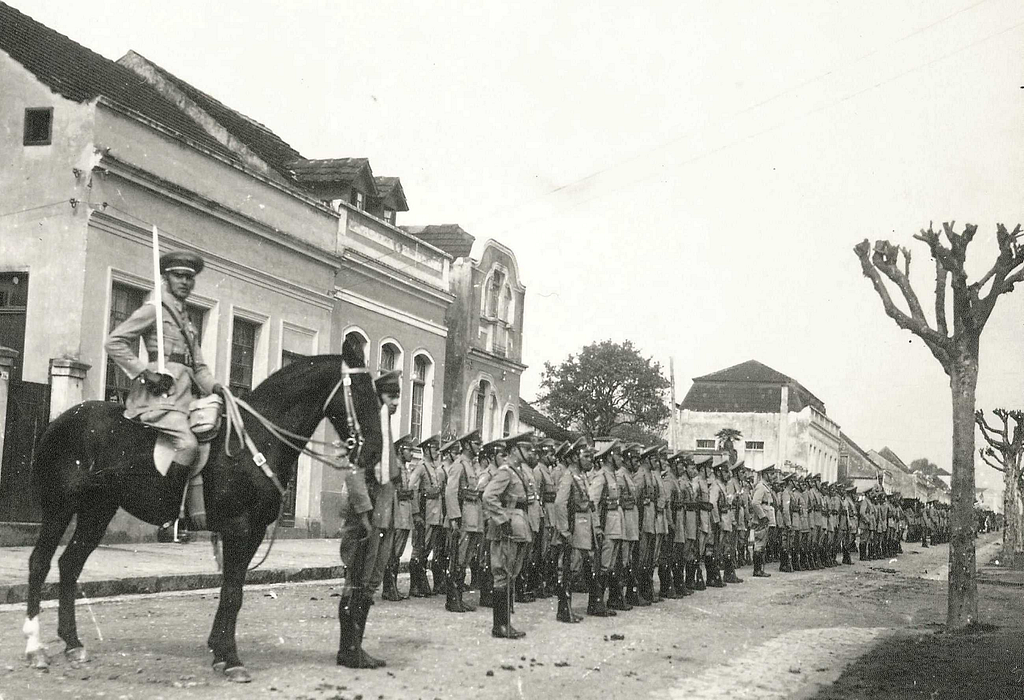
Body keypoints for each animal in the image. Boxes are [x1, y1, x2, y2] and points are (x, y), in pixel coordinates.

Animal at [22, 339, 382, 683]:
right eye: (361, 392)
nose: (375, 453)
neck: (255, 440)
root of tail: (62, 419)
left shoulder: (251, 532)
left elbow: (231, 590)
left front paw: (219, 650)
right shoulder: (238, 528)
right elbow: (233, 593)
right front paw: (232, 660)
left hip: (98, 510)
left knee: (69, 565)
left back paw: (72, 643)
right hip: (59, 507)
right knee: (40, 564)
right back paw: (35, 648)